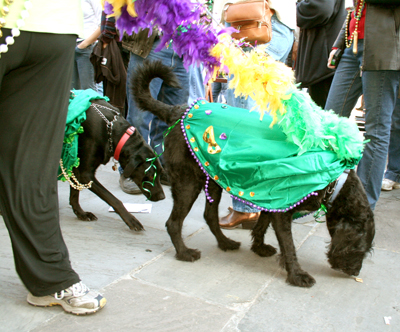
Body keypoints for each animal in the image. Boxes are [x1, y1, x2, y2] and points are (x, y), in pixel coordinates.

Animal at [68, 97, 165, 230]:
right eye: (150, 176)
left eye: (160, 174)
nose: (162, 197)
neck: (111, 129)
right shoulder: (85, 174)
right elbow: (113, 199)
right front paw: (131, 220)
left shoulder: (75, 165)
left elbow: (74, 192)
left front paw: (80, 213)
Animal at [131, 60, 376, 288]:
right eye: (360, 247)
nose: (355, 272)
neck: (336, 182)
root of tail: (179, 111)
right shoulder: (283, 208)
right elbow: (289, 246)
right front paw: (297, 275)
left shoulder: (271, 198)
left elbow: (261, 225)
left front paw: (258, 247)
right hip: (188, 183)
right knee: (173, 223)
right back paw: (184, 253)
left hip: (214, 179)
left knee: (209, 216)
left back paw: (225, 243)